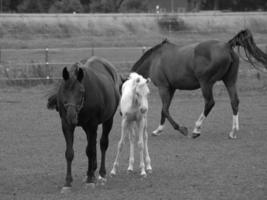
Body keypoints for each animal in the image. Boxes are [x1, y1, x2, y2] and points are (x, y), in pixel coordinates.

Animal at [47, 55, 123, 192]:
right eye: (64, 91)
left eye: (81, 91)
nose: (71, 116)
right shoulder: (67, 126)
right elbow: (70, 153)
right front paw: (68, 182)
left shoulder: (92, 125)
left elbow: (91, 151)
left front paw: (90, 180)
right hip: (87, 128)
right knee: (92, 145)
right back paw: (90, 172)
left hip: (107, 121)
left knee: (102, 144)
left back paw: (101, 174)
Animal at [132, 28, 267, 139]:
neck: (154, 60)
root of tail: (227, 46)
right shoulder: (171, 88)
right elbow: (164, 109)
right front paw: (158, 130)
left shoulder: (163, 87)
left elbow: (165, 110)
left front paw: (181, 129)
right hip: (229, 81)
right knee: (234, 102)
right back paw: (233, 132)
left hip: (206, 83)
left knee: (210, 102)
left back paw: (196, 129)